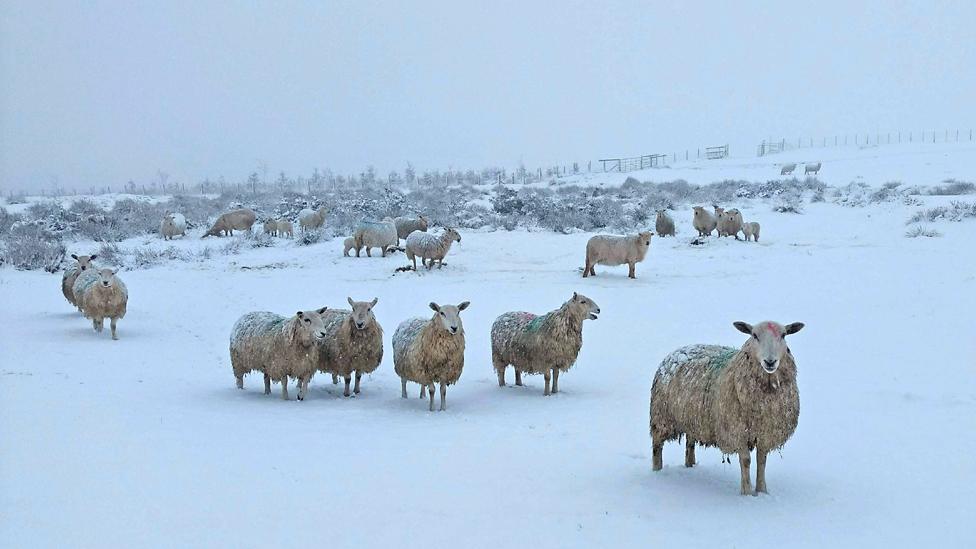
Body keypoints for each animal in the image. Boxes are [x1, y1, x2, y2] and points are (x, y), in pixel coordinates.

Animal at [652, 318, 804, 494]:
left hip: (693, 420)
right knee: (657, 446)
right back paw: (656, 471)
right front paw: (747, 492)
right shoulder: (736, 431)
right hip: (661, 417)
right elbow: (746, 460)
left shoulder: (765, 432)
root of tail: (676, 351)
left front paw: (762, 491)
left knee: (690, 444)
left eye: (784, 335)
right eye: (754, 335)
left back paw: (690, 466)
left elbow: (762, 461)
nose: (770, 361)